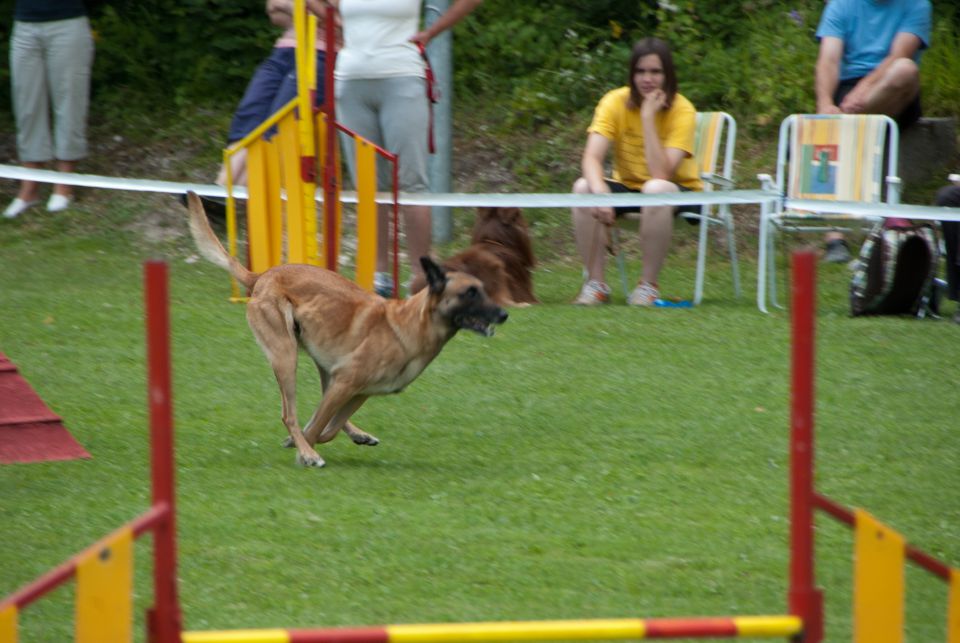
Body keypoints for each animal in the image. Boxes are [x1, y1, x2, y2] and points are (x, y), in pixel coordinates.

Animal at [183, 191, 506, 468]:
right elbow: (317, 427)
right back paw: (306, 448)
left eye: (483, 289)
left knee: (317, 412)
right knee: (289, 414)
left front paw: (309, 442)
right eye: (470, 293)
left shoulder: (358, 390)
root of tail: (261, 276)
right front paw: (305, 453)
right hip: (286, 356)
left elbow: (329, 426)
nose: (503, 314)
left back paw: (352, 434)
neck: (410, 326)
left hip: (322, 362)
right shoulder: (347, 381)